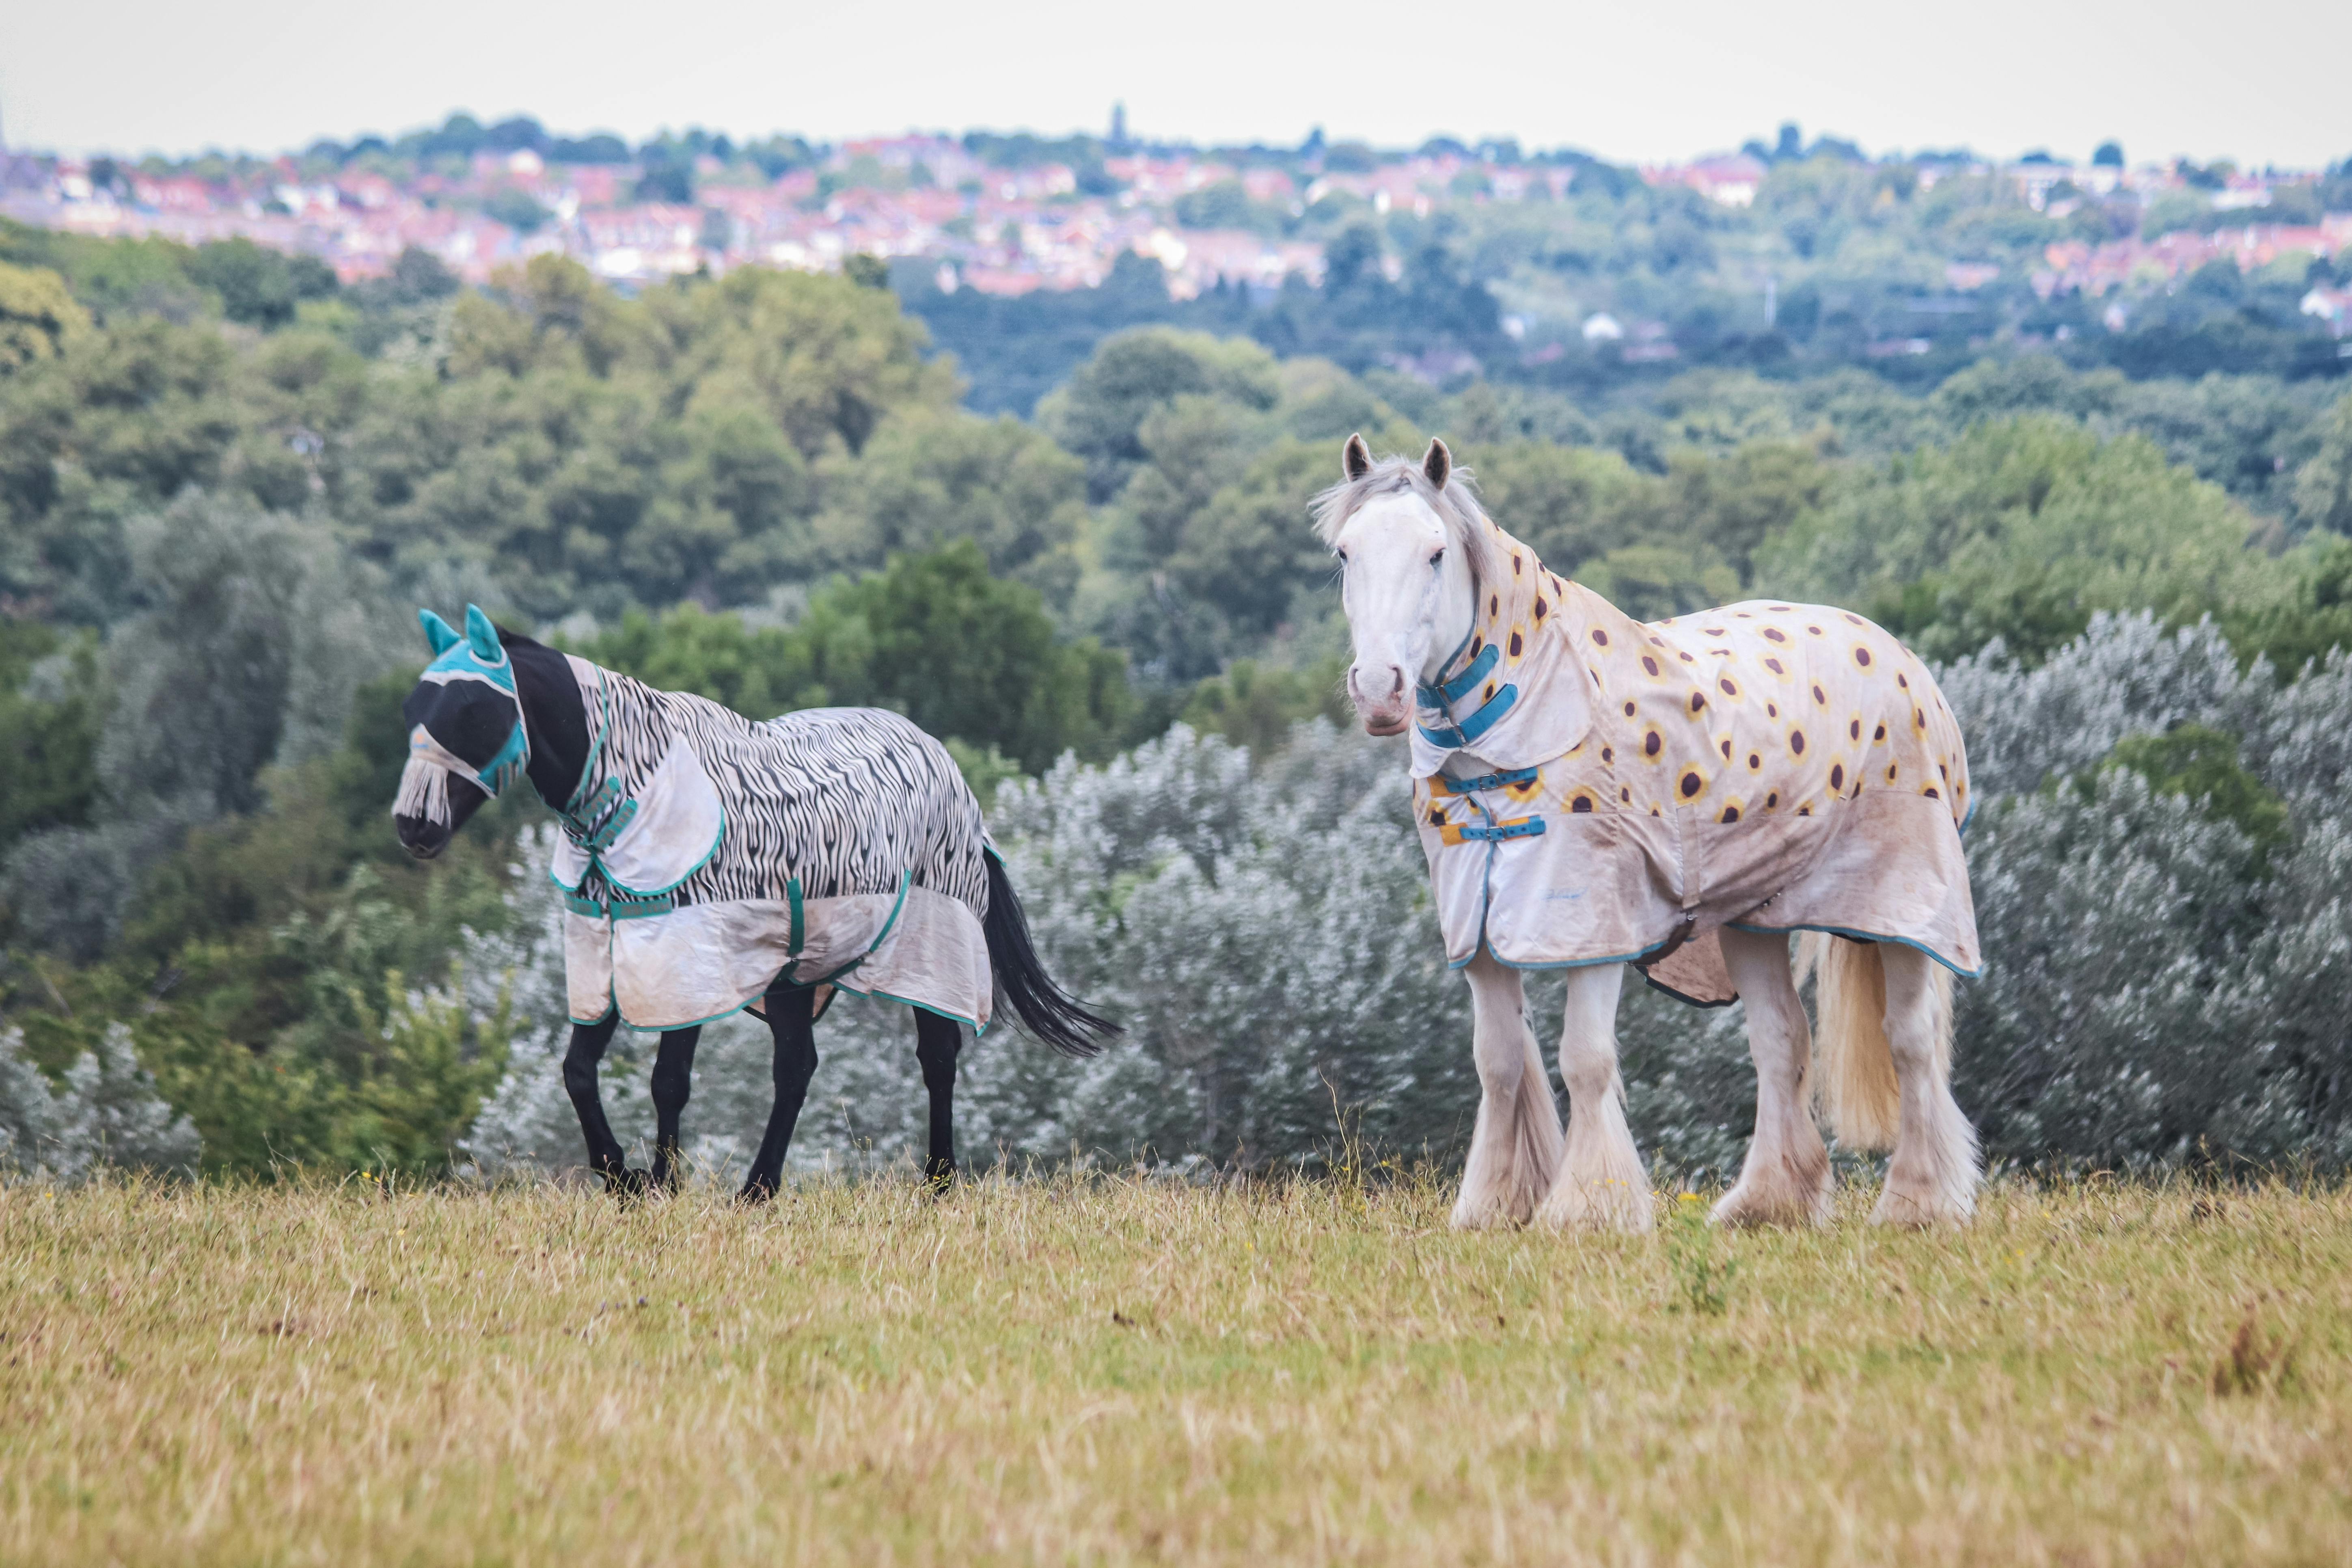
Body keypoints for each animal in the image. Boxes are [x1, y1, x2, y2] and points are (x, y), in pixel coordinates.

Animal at [390, 604, 1116, 1199]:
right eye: (413, 706)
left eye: (473, 711)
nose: (413, 825)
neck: (638, 793)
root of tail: (948, 768)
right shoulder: (605, 949)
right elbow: (578, 1071)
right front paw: (625, 1176)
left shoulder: (685, 955)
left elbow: (668, 1080)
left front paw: (657, 1184)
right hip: (794, 975)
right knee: (796, 1068)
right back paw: (758, 1188)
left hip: (929, 951)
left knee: (937, 1058)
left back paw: (937, 1184)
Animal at [1318, 435, 1982, 1231]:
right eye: (1346, 553)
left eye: (1435, 552)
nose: (1378, 689)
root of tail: (1899, 654)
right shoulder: (1478, 932)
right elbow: (1499, 1060)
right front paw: (1494, 1204)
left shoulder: (1596, 923)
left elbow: (1584, 1058)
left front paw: (1586, 1208)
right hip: (1752, 921)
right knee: (1780, 1040)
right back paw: (1768, 1201)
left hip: (1900, 909)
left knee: (1911, 1041)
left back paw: (1919, 1202)